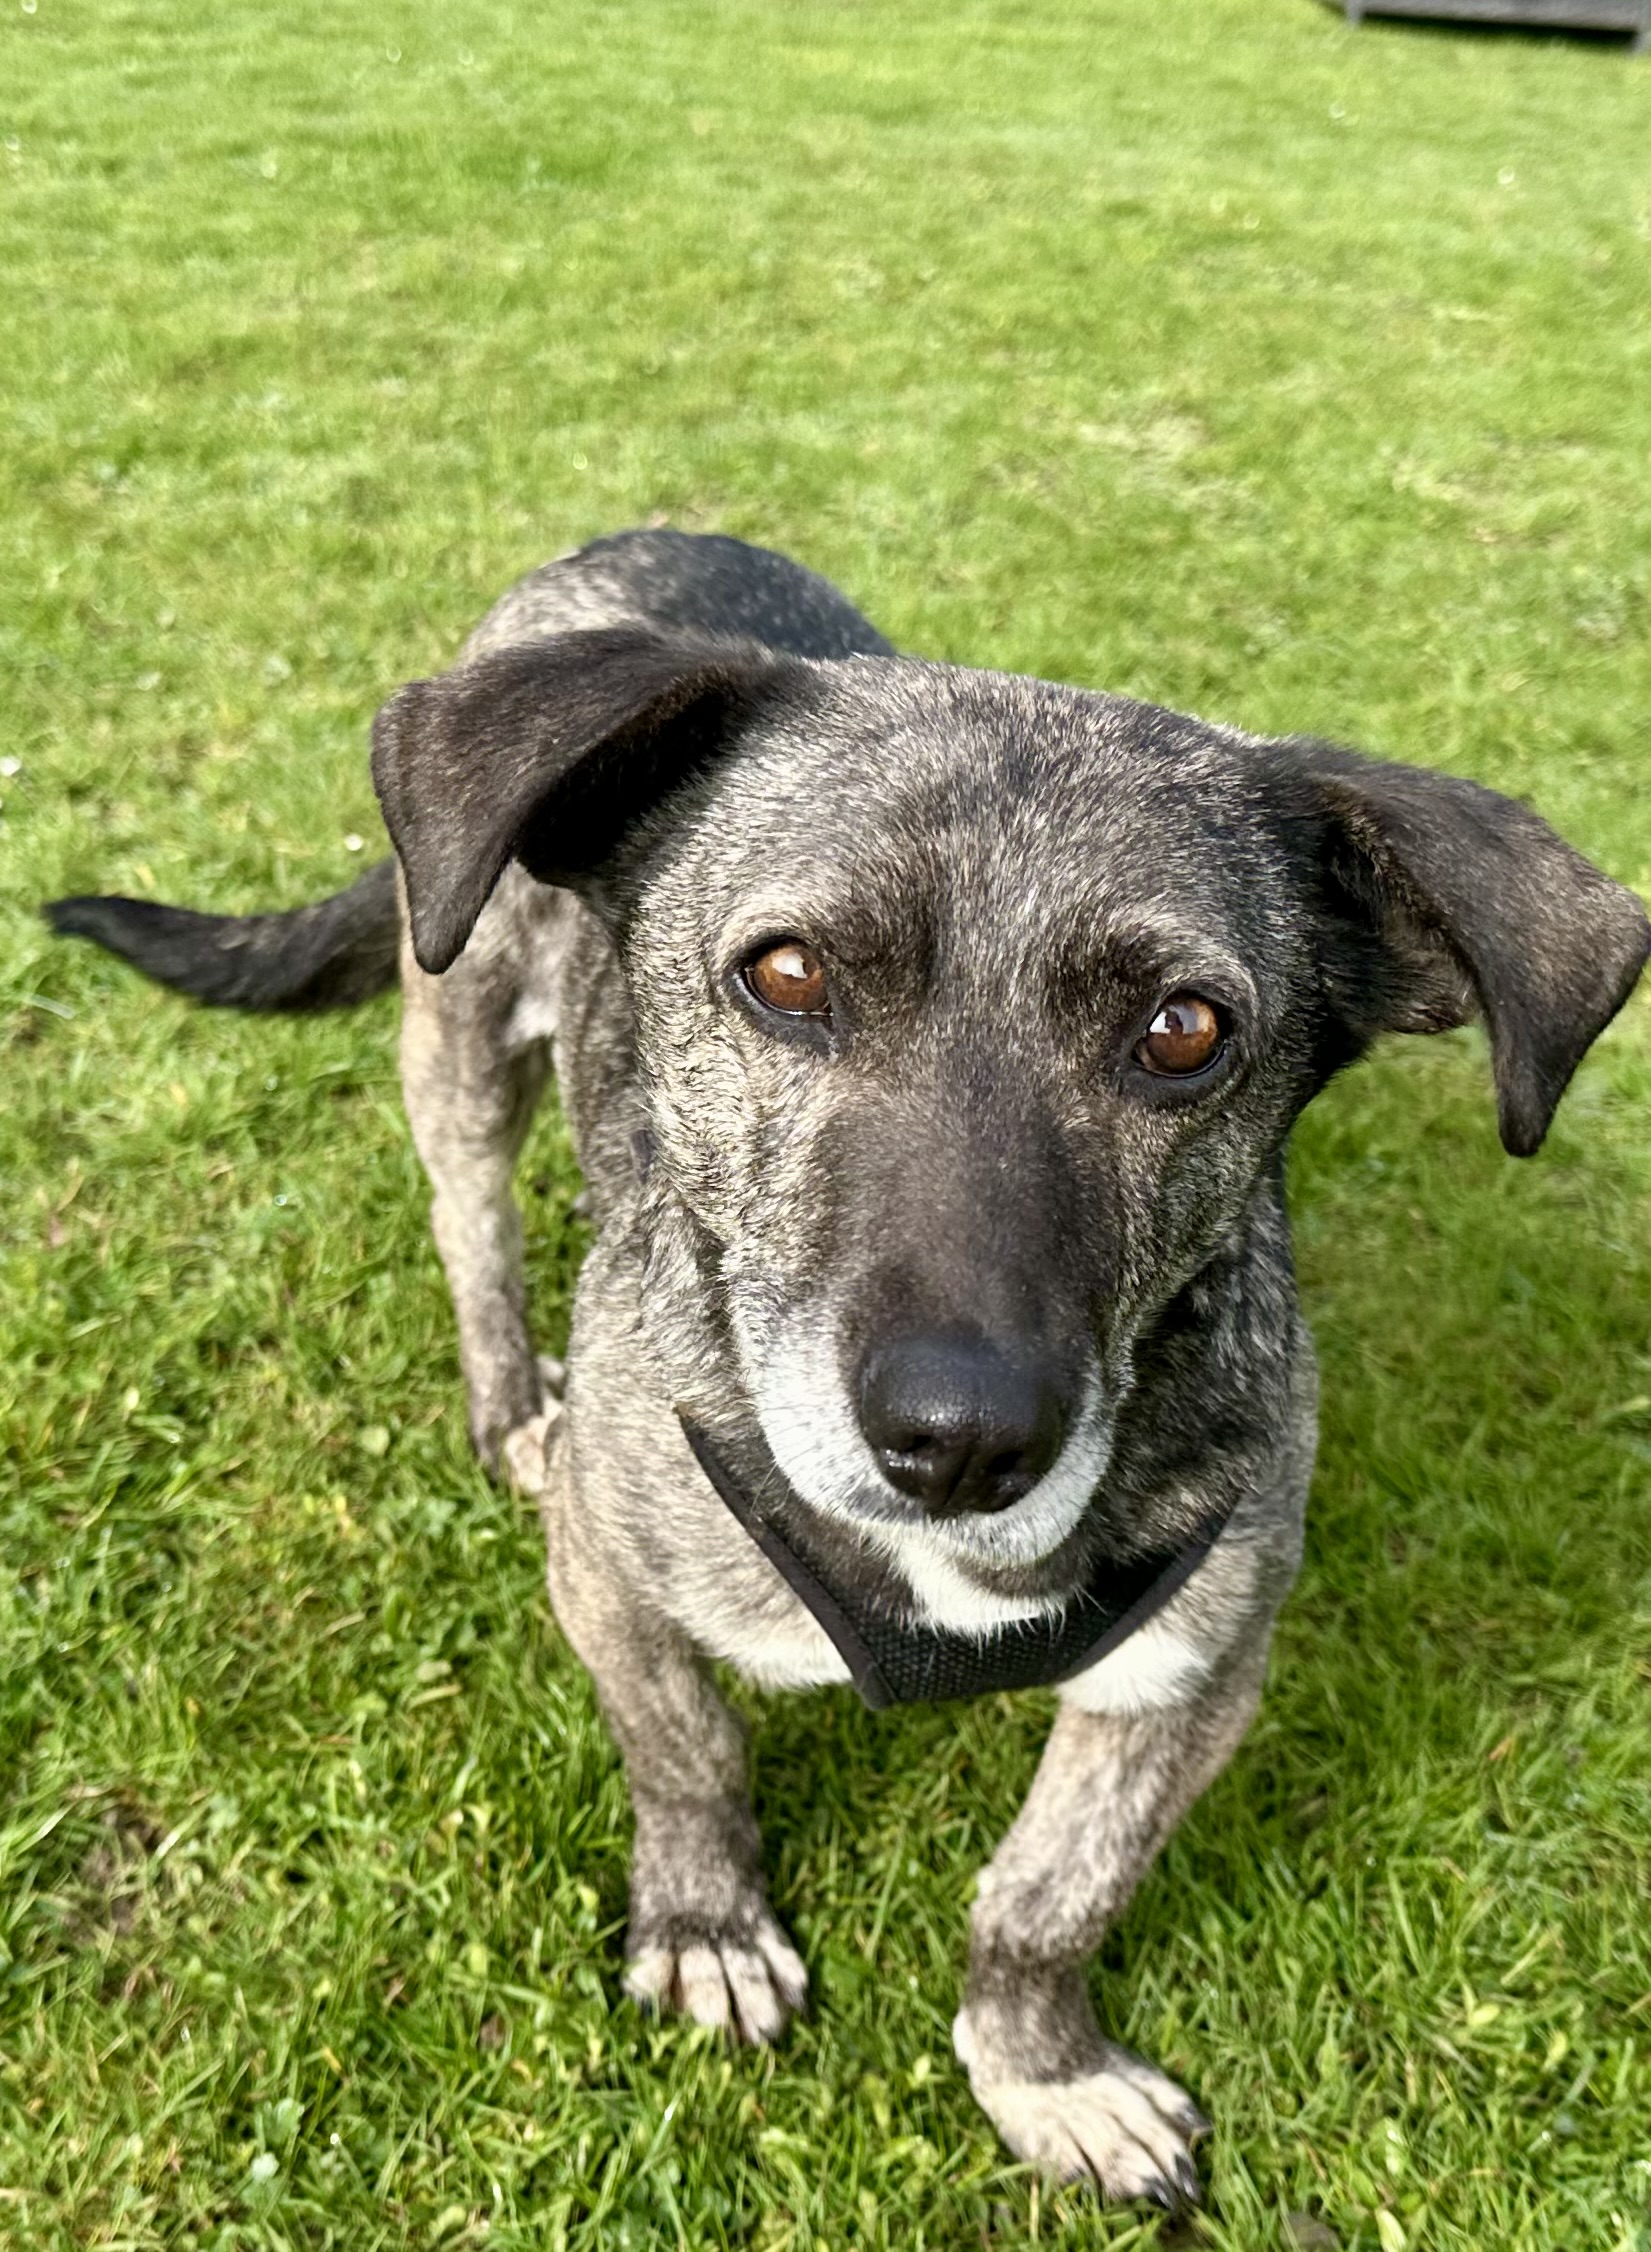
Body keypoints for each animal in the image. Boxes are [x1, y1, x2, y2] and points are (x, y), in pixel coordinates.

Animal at [49, 529, 1649, 2208]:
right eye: (788, 973)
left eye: (1181, 1030)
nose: (958, 1438)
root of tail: (632, 541)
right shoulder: (610, 1581)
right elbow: (686, 1754)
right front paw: (705, 1924)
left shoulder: (1187, 1679)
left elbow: (1044, 1897)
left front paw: (1041, 2071)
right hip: (462, 1034)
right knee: (468, 1217)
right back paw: (507, 1399)